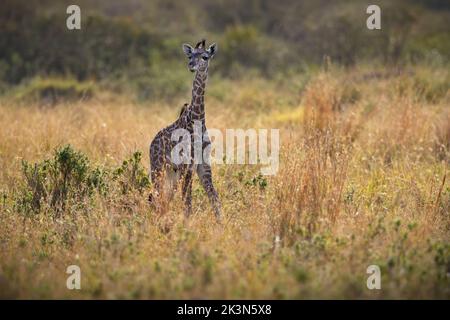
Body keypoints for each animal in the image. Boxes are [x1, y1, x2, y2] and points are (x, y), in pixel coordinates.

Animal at [149, 38, 221, 221]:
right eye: (190, 55)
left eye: (204, 57)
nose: (191, 65)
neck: (198, 119)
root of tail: (152, 144)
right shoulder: (187, 165)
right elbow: (187, 201)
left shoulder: (203, 164)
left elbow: (214, 198)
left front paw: (221, 224)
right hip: (158, 167)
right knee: (155, 196)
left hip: (171, 172)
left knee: (164, 197)